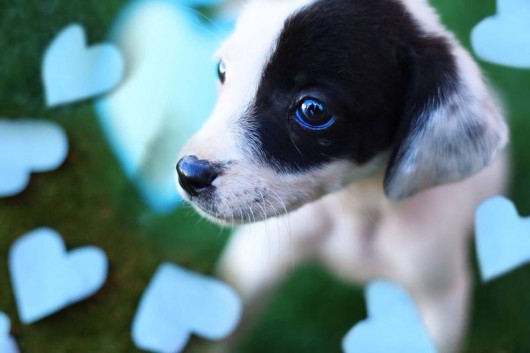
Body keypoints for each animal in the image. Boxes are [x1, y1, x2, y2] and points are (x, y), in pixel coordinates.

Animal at [174, 1, 508, 350]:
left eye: (313, 110)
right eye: (223, 71)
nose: (188, 174)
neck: (353, 208)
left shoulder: (441, 297)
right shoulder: (256, 264)